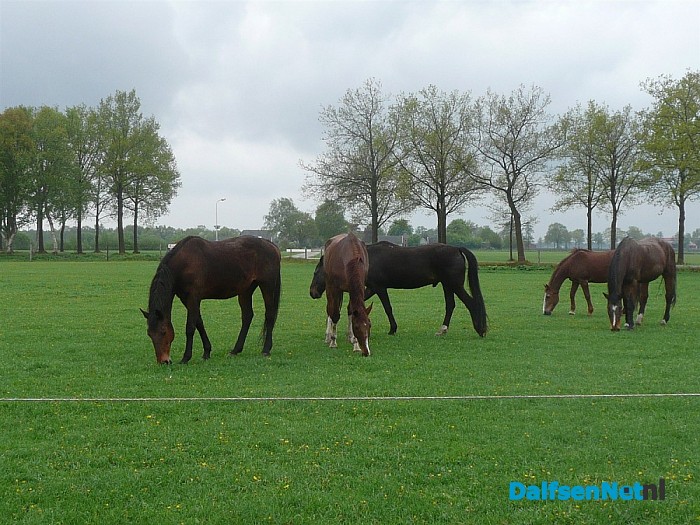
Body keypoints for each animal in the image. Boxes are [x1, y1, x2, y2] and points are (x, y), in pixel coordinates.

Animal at [141, 235, 281, 364]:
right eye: (149, 334)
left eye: (163, 331)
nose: (163, 361)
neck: (183, 263)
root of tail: (271, 245)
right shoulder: (187, 299)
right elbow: (199, 323)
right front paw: (206, 352)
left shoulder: (193, 298)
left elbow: (190, 327)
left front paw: (186, 357)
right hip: (246, 291)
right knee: (247, 316)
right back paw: (235, 350)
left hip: (267, 286)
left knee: (269, 315)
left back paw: (266, 349)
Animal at [310, 241, 487, 337]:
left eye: (316, 272)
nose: (312, 292)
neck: (366, 259)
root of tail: (456, 248)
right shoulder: (371, 288)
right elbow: (351, 307)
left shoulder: (378, 288)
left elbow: (388, 308)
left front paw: (393, 329)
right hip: (447, 285)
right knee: (450, 305)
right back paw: (442, 330)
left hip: (454, 285)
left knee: (471, 303)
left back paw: (479, 329)